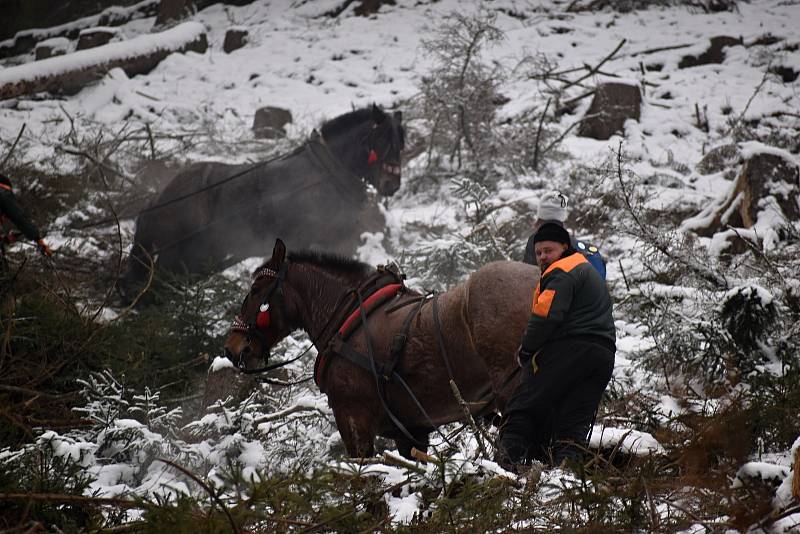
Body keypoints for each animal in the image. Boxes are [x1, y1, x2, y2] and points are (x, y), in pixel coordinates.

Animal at [119, 104, 406, 302]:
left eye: (400, 144)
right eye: (380, 141)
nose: (392, 184)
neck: (326, 174)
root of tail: (159, 199)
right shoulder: (335, 240)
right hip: (179, 259)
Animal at [222, 241, 540, 458]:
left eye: (255, 290)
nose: (231, 347)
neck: (348, 320)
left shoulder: (353, 421)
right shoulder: (410, 432)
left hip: (512, 388)